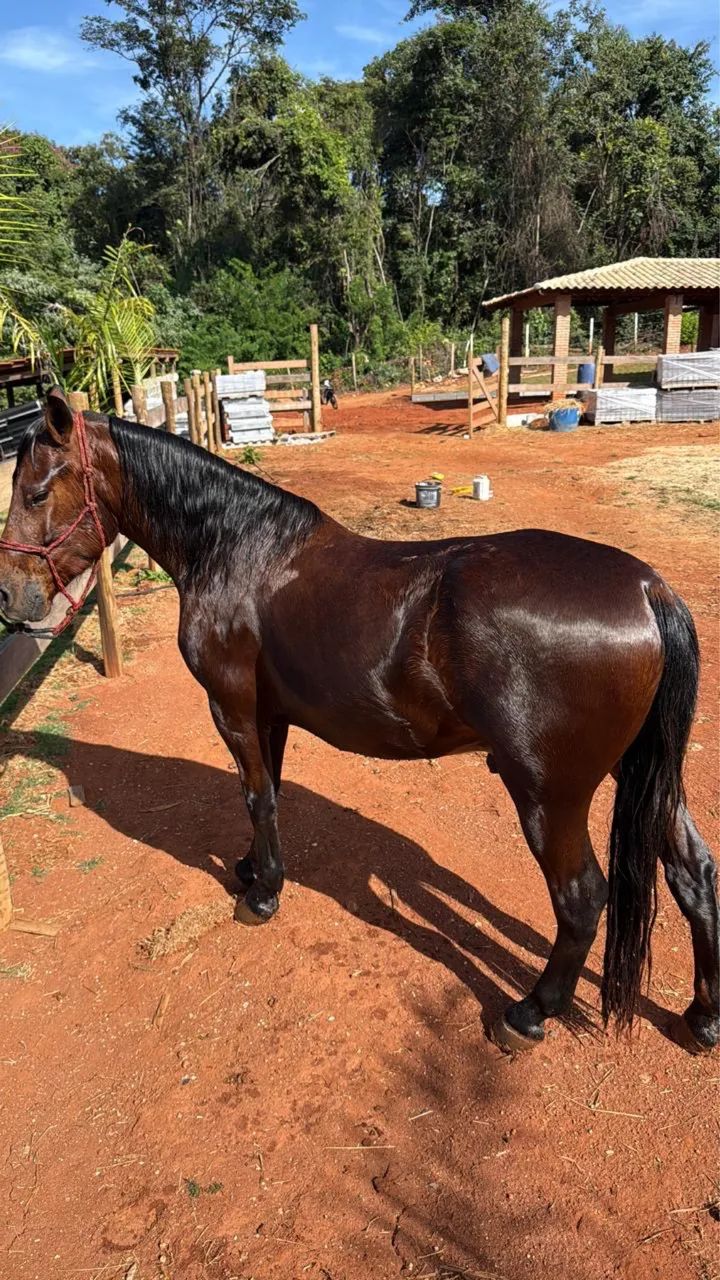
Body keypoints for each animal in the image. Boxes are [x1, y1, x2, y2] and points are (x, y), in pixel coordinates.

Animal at [0, 387, 717, 1056]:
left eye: (36, 490)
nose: (10, 597)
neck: (237, 549)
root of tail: (648, 589)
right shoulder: (269, 715)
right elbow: (267, 792)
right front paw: (251, 867)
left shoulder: (232, 707)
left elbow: (257, 795)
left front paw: (262, 896)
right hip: (643, 774)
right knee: (694, 871)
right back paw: (702, 1017)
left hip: (549, 795)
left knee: (581, 898)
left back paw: (529, 1012)